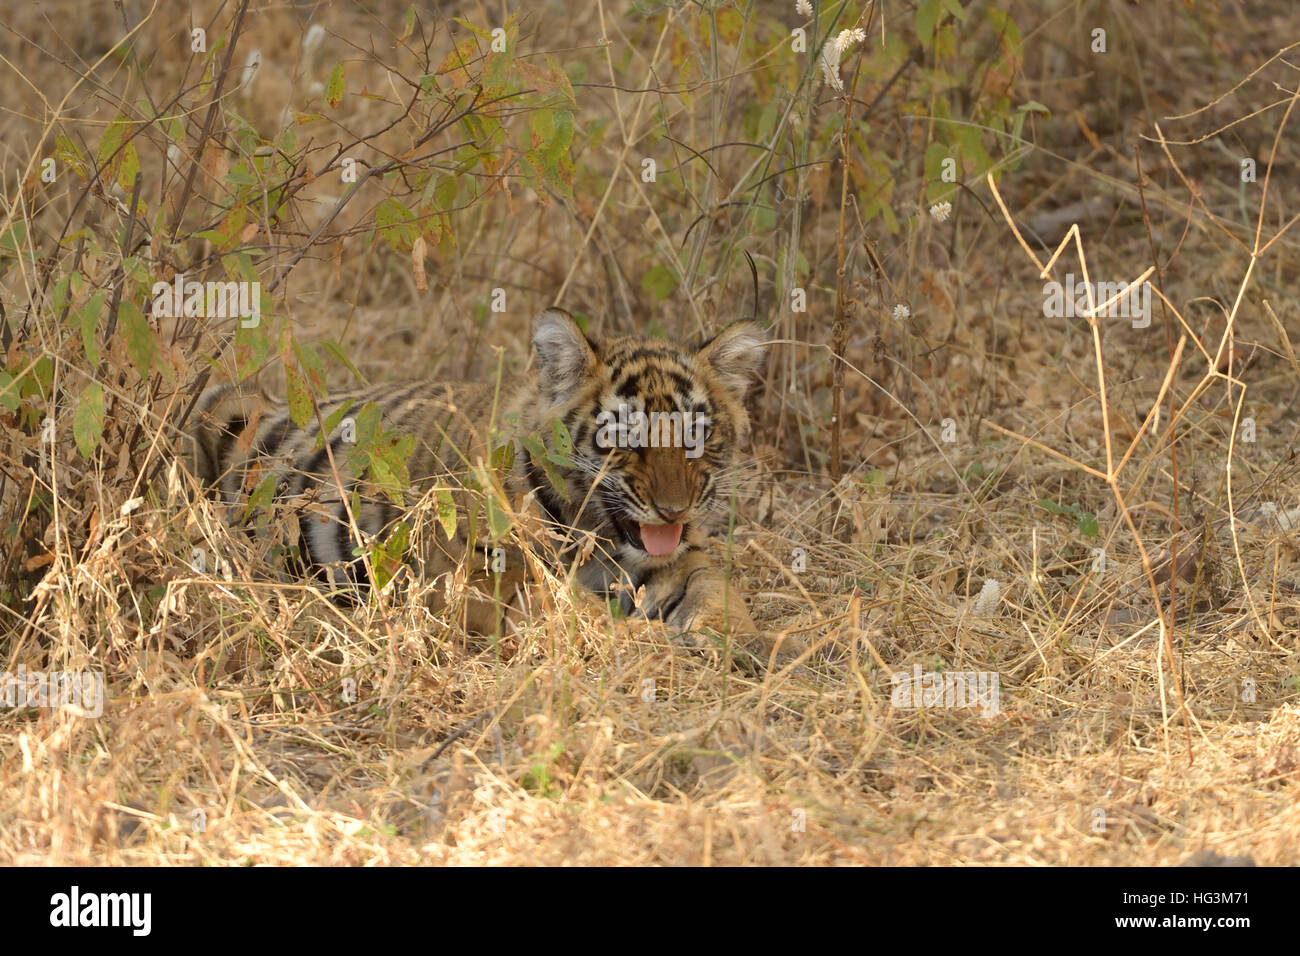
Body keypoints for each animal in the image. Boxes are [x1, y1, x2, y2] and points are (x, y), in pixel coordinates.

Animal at [185, 308, 798, 661]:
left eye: (696, 435)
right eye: (626, 436)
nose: (673, 511)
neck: (597, 533)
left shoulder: (679, 557)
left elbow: (716, 589)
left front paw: (748, 639)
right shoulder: (482, 585)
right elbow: (578, 615)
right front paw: (655, 642)